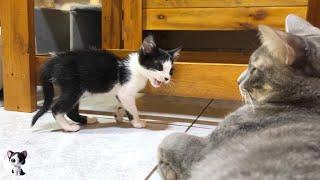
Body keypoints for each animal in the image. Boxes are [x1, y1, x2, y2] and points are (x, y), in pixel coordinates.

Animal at [31, 35, 181, 131]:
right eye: (159, 66)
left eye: (170, 71)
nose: (166, 78)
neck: (136, 69)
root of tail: (55, 60)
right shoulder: (126, 91)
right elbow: (133, 108)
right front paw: (137, 122)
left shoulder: (121, 93)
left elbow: (124, 104)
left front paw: (119, 114)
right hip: (73, 89)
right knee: (57, 108)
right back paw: (68, 127)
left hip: (78, 90)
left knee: (71, 111)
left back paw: (87, 120)